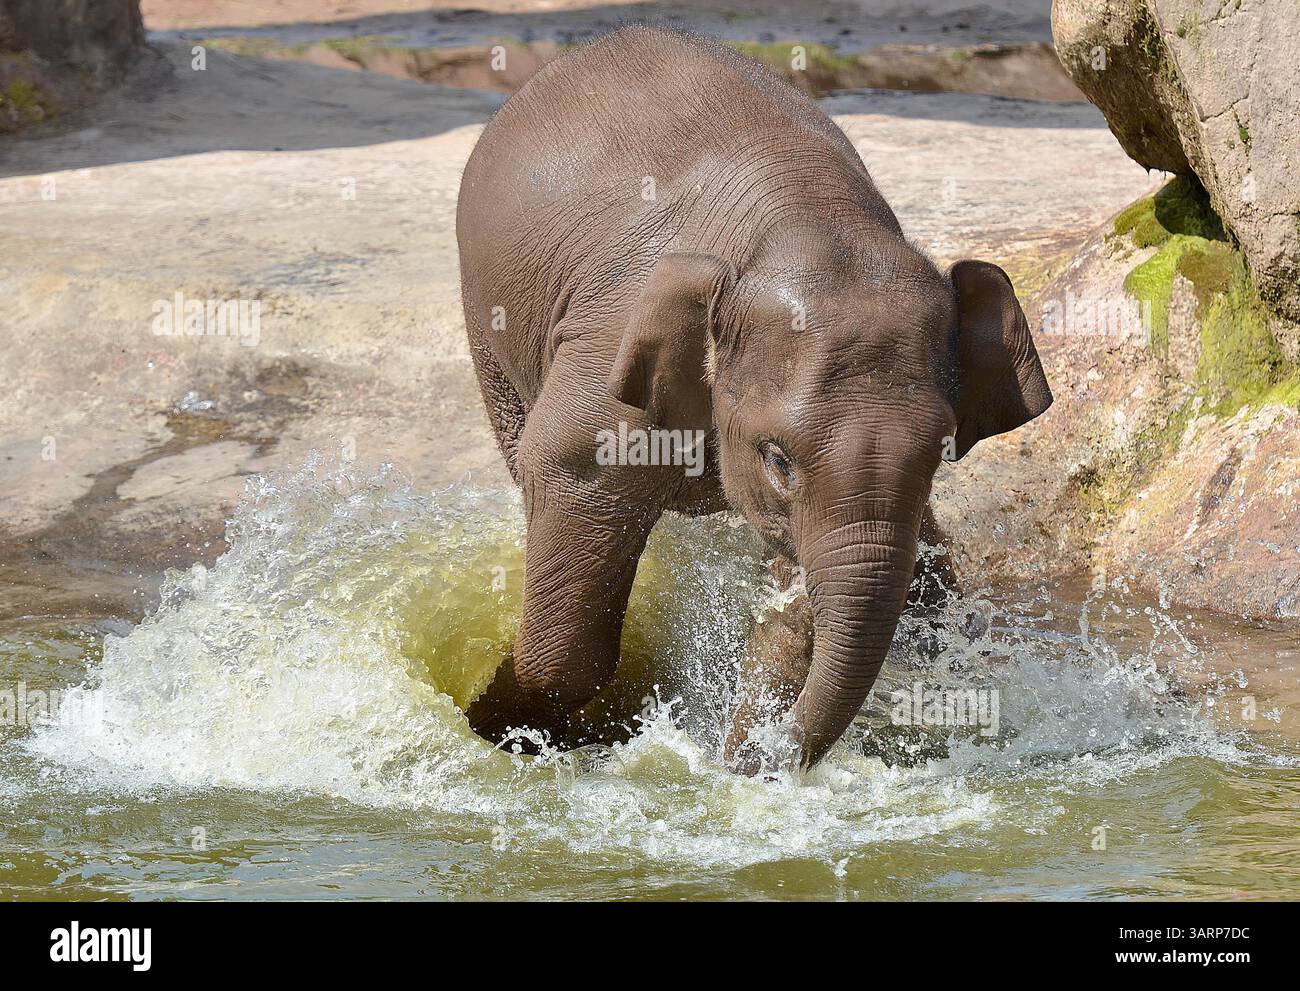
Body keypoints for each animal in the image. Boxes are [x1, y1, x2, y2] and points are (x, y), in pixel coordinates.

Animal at [455, 25, 1052, 772]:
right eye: (778, 459)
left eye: (942, 451)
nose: (753, 760)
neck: (803, 215)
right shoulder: (605, 351)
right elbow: (569, 475)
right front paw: (506, 729)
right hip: (486, 324)